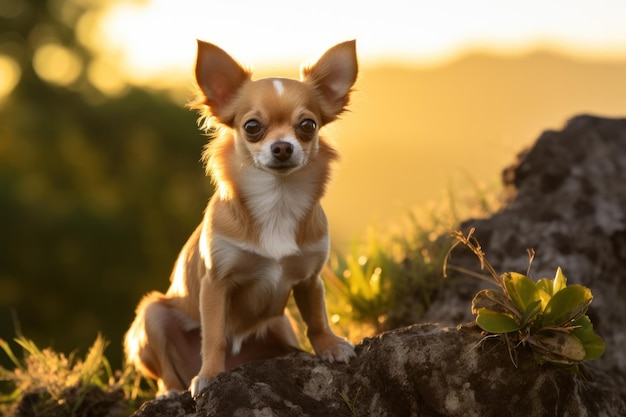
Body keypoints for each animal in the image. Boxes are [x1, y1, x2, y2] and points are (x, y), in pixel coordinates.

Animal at [123, 39, 356, 396]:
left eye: (308, 126)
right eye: (252, 127)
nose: (283, 147)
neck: (277, 199)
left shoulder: (309, 278)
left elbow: (317, 317)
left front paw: (329, 345)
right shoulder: (215, 283)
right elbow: (214, 335)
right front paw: (209, 374)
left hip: (282, 325)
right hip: (152, 314)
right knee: (166, 369)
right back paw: (172, 389)